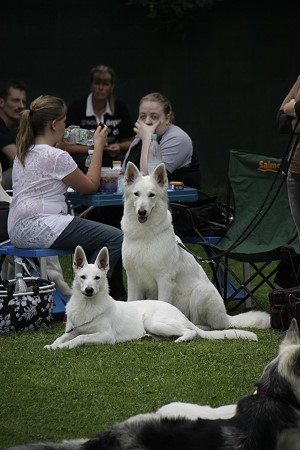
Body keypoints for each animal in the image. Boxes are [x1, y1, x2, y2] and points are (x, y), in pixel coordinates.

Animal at [44, 244, 258, 350]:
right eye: (82, 277)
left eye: (97, 278)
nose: (89, 290)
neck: (88, 306)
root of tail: (179, 313)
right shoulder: (72, 329)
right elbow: (61, 337)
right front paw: (53, 345)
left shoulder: (105, 336)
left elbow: (80, 339)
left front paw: (65, 347)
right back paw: (149, 338)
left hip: (154, 321)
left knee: (191, 332)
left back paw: (181, 339)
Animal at [120, 162, 270, 330]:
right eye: (136, 194)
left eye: (151, 195)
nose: (142, 212)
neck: (145, 235)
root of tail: (227, 317)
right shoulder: (133, 280)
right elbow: (132, 302)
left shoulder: (165, 280)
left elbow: (163, 302)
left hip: (200, 293)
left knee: (211, 325)